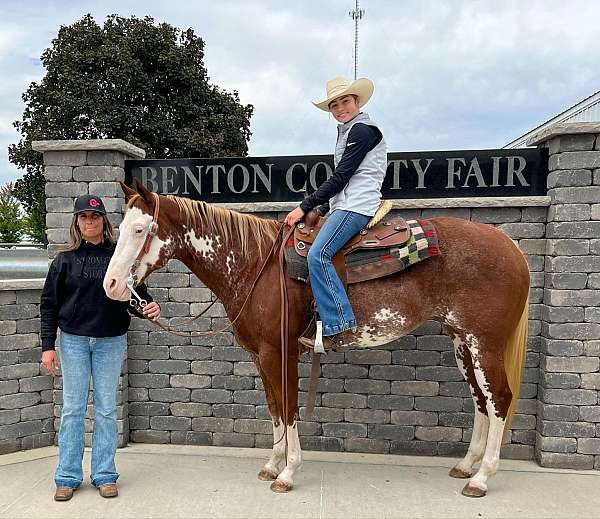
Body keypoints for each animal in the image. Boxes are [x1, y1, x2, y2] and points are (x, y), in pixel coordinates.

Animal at [103, 181, 528, 498]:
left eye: (139, 230)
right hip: (462, 342)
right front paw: (271, 464)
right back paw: (466, 466)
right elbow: (274, 407)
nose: (112, 285)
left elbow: (289, 408)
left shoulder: (281, 352)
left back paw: (482, 478)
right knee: (481, 401)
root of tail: (511, 247)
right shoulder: (261, 355)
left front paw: (287, 473)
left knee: (499, 399)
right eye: (119, 229)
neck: (255, 265)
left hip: (484, 344)